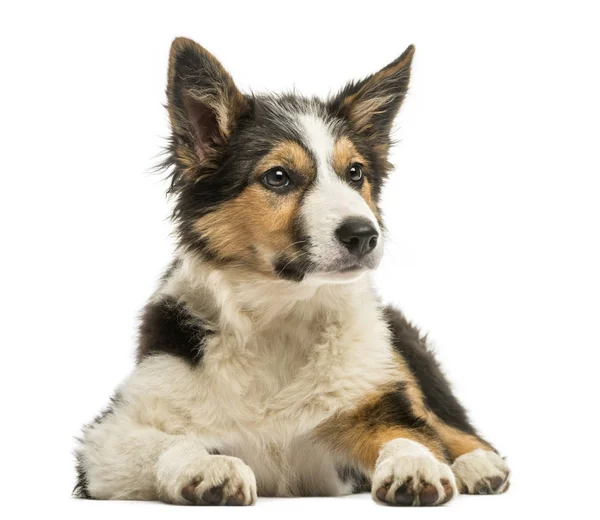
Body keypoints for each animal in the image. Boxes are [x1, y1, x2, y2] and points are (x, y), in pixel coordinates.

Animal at [72, 37, 508, 508]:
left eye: (355, 172)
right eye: (278, 177)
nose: (364, 235)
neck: (282, 313)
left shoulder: (373, 402)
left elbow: (411, 434)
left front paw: (414, 465)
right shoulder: (105, 440)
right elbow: (172, 442)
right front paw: (208, 467)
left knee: (450, 427)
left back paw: (478, 466)